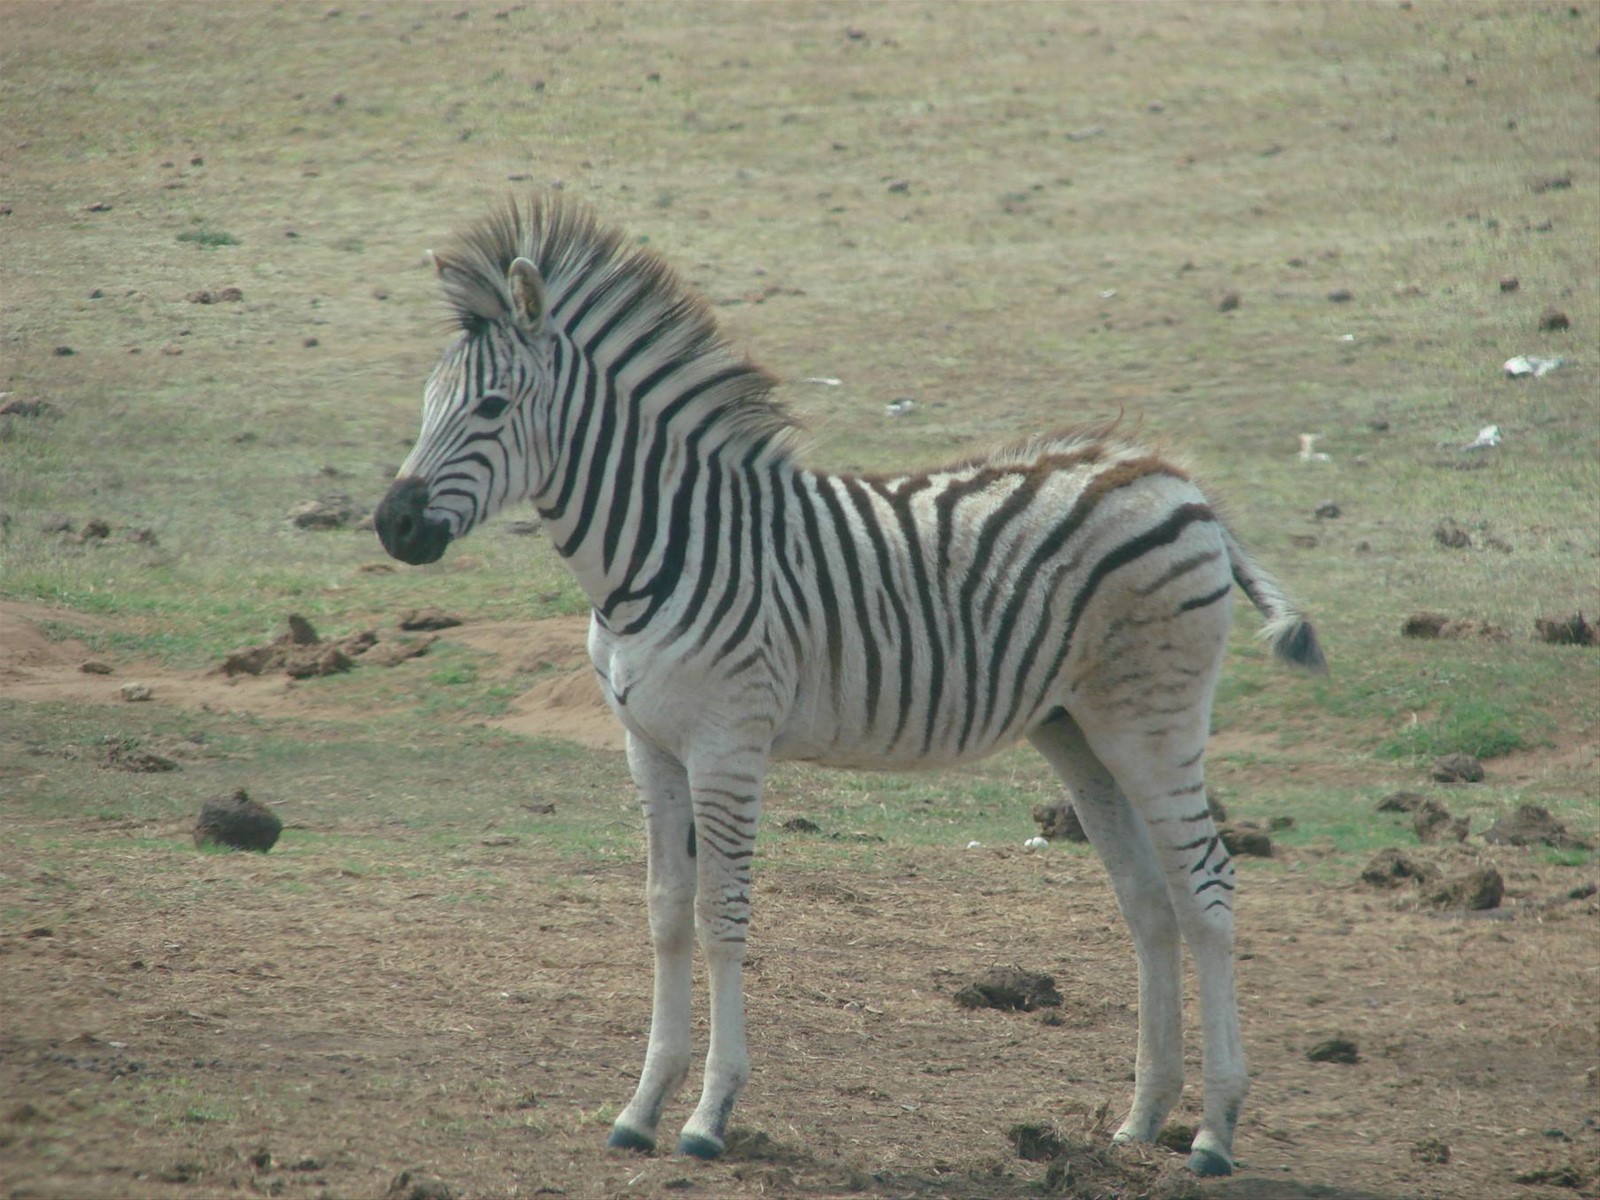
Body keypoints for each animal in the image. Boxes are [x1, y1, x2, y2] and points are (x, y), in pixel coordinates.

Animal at [374, 196, 1325, 1178]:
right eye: (427, 404)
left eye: (492, 406)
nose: (392, 524)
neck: (662, 550)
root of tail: (1177, 480)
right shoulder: (649, 747)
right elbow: (665, 914)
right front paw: (640, 1108)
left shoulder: (729, 744)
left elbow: (722, 917)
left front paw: (708, 1115)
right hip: (1076, 729)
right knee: (1148, 900)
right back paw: (1141, 1120)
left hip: (1154, 725)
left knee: (1207, 890)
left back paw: (1213, 1132)